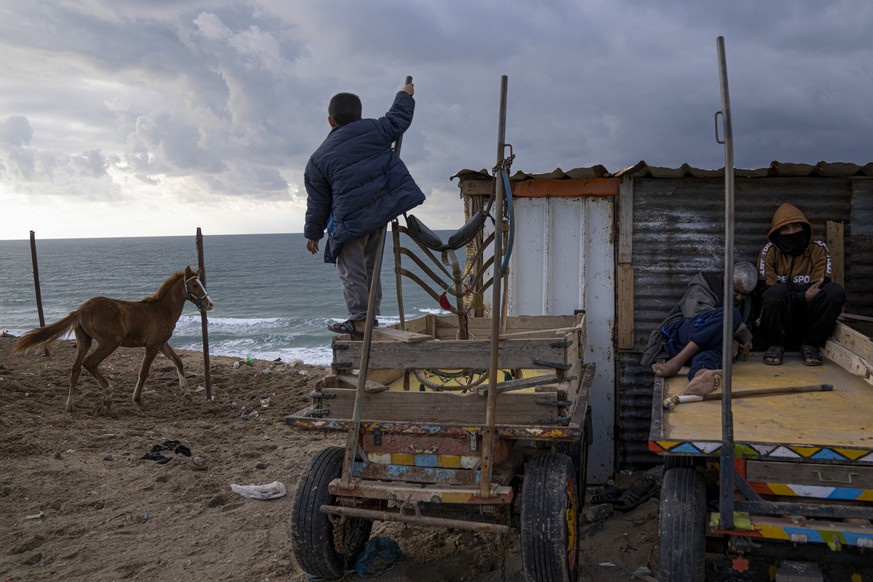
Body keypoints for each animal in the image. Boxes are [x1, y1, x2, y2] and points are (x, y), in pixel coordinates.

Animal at [13, 266, 213, 412]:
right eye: (195, 285)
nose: (209, 304)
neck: (161, 310)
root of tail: (82, 309)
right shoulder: (152, 346)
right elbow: (144, 372)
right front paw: (137, 400)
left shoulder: (161, 343)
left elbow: (178, 361)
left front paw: (187, 393)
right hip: (110, 342)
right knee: (90, 363)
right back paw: (108, 395)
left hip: (84, 341)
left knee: (75, 368)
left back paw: (69, 405)